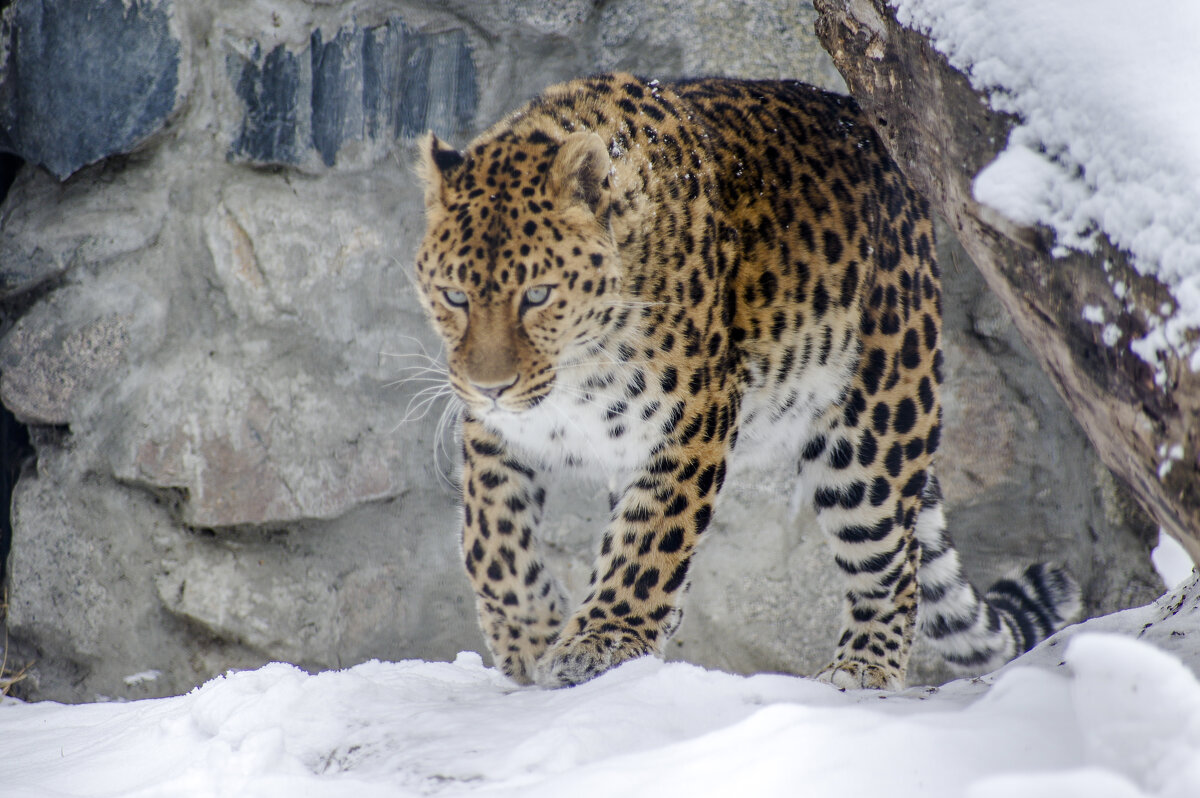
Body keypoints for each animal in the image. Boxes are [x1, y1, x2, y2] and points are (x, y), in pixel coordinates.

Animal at [410, 71, 1080, 686]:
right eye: (454, 296)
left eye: (538, 295)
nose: (491, 386)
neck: (577, 373)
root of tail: (879, 138)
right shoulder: (495, 431)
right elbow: (489, 540)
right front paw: (531, 636)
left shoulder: (693, 418)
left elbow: (651, 540)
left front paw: (599, 641)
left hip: (872, 432)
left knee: (895, 561)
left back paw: (862, 668)